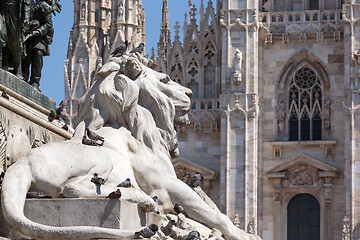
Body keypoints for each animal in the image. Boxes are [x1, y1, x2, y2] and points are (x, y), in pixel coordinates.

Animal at [0, 53, 260, 240]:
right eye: (165, 79)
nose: (189, 92)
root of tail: (22, 164)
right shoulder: (167, 184)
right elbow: (216, 215)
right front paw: (244, 235)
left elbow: (209, 211)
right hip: (101, 159)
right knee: (73, 189)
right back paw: (140, 197)